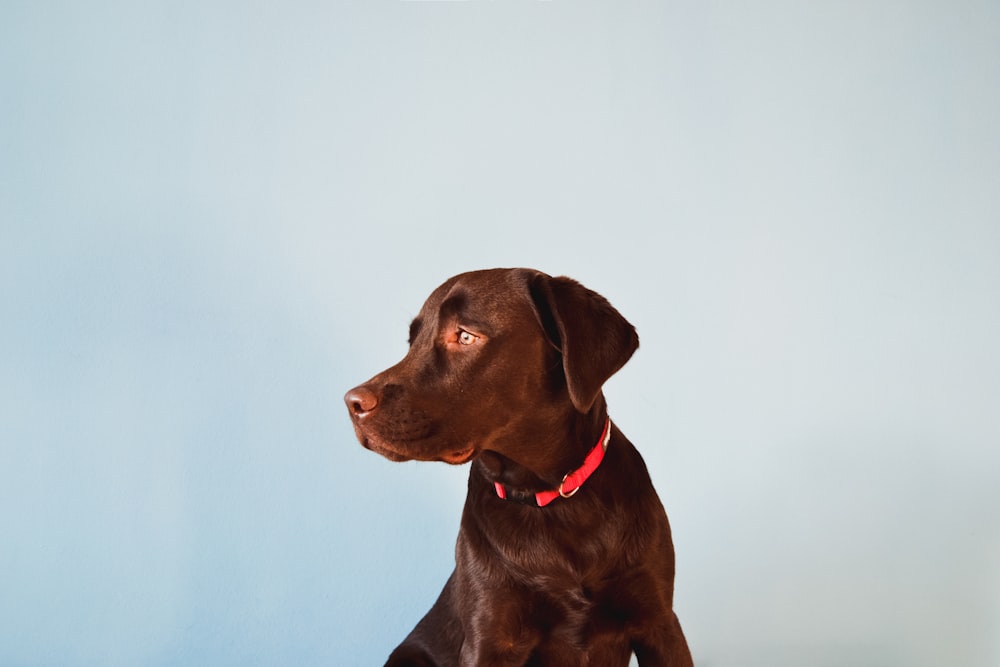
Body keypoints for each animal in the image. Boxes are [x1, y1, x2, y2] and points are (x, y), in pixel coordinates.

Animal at [344, 268, 688, 664]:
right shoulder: (490, 638)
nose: (352, 402)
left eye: (465, 335)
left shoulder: (659, 622)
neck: (551, 495)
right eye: (412, 342)